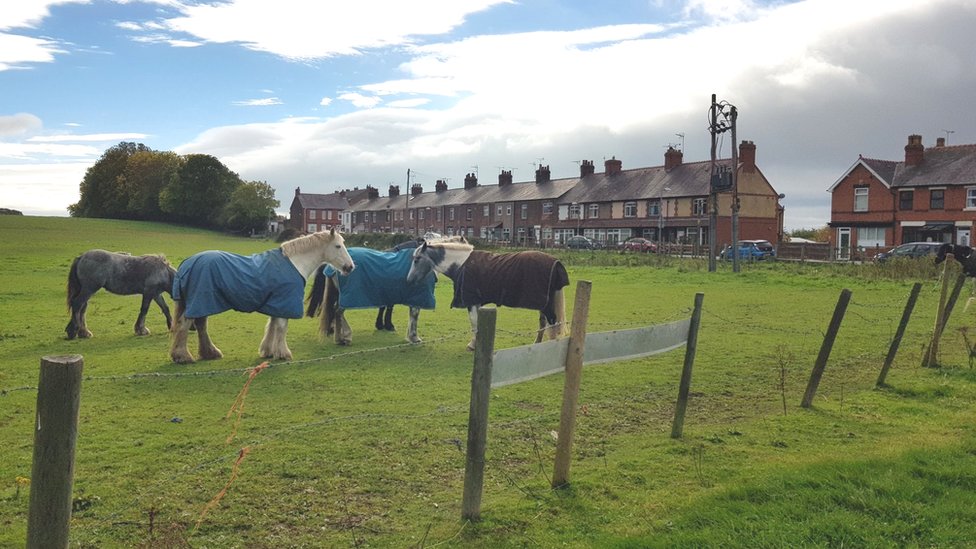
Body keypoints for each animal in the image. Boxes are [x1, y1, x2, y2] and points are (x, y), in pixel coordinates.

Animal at [171, 229, 354, 362]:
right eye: (338, 246)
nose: (350, 267)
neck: (294, 263)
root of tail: (188, 262)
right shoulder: (283, 303)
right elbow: (281, 327)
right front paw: (283, 353)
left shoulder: (276, 304)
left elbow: (271, 326)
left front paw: (268, 351)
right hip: (198, 302)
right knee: (185, 324)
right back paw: (183, 356)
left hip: (202, 303)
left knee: (200, 325)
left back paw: (209, 353)